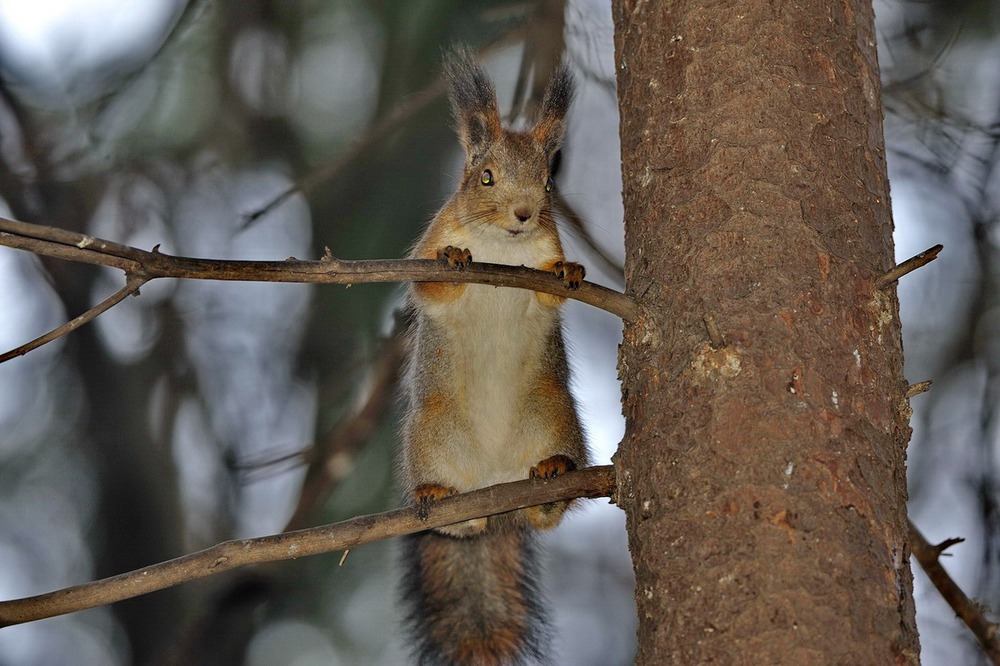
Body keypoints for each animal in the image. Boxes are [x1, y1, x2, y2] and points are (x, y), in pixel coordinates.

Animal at [398, 48, 588, 664]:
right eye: (485, 177)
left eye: (548, 179)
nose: (525, 213)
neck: (503, 250)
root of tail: (496, 484)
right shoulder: (425, 249)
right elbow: (429, 287)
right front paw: (457, 259)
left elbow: (552, 291)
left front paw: (569, 270)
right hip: (432, 434)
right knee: (462, 529)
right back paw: (440, 496)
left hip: (553, 414)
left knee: (546, 513)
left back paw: (554, 472)